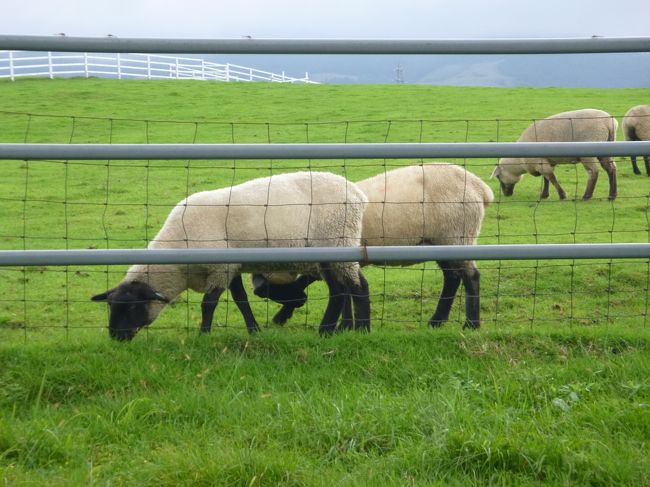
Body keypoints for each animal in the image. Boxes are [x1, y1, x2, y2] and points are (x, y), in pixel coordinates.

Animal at [90, 173, 370, 342]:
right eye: (110, 306)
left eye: (133, 307)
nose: (116, 337)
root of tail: (357, 193)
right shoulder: (231, 266)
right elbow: (241, 300)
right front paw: (254, 330)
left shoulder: (220, 267)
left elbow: (208, 304)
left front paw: (203, 335)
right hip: (339, 248)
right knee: (353, 286)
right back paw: (353, 329)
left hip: (333, 243)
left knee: (343, 289)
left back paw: (334, 331)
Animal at [252, 165, 492, 332]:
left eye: (268, 290)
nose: (300, 303)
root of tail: (479, 187)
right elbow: (345, 292)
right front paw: (345, 326)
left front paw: (282, 316)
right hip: (439, 242)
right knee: (452, 278)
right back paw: (437, 321)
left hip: (457, 236)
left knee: (471, 276)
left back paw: (471, 324)